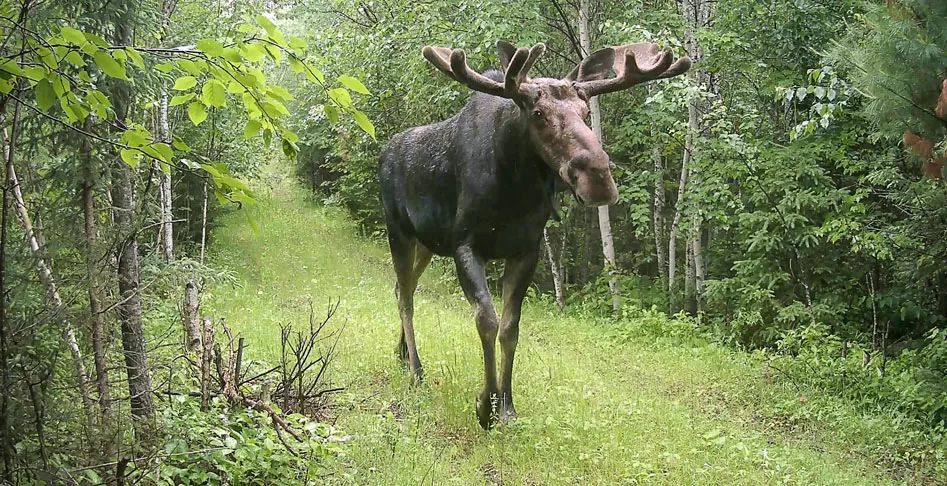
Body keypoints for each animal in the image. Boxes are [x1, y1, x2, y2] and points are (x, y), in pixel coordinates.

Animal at [379, 40, 690, 429]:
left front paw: (507, 406)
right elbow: (486, 319)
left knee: (401, 289)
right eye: (538, 114)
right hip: (398, 233)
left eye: (585, 112)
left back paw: (402, 354)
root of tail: (384, 152)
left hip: (427, 243)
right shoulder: (466, 245)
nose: (599, 178)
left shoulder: (526, 250)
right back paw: (417, 371)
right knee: (405, 296)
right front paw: (485, 405)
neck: (515, 189)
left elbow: (511, 326)